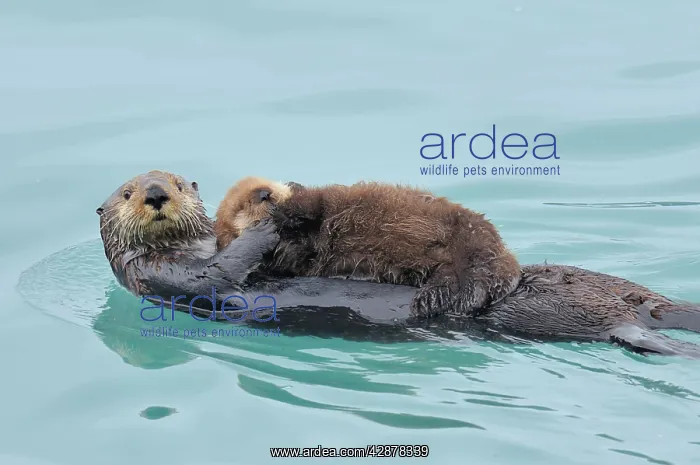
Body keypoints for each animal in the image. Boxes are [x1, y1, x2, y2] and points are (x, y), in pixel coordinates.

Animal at [214, 176, 522, 319]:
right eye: (241, 207)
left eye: (270, 183)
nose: (265, 194)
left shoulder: (319, 208)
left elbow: (314, 202)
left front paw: (290, 201)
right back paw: (430, 298)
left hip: (470, 238)